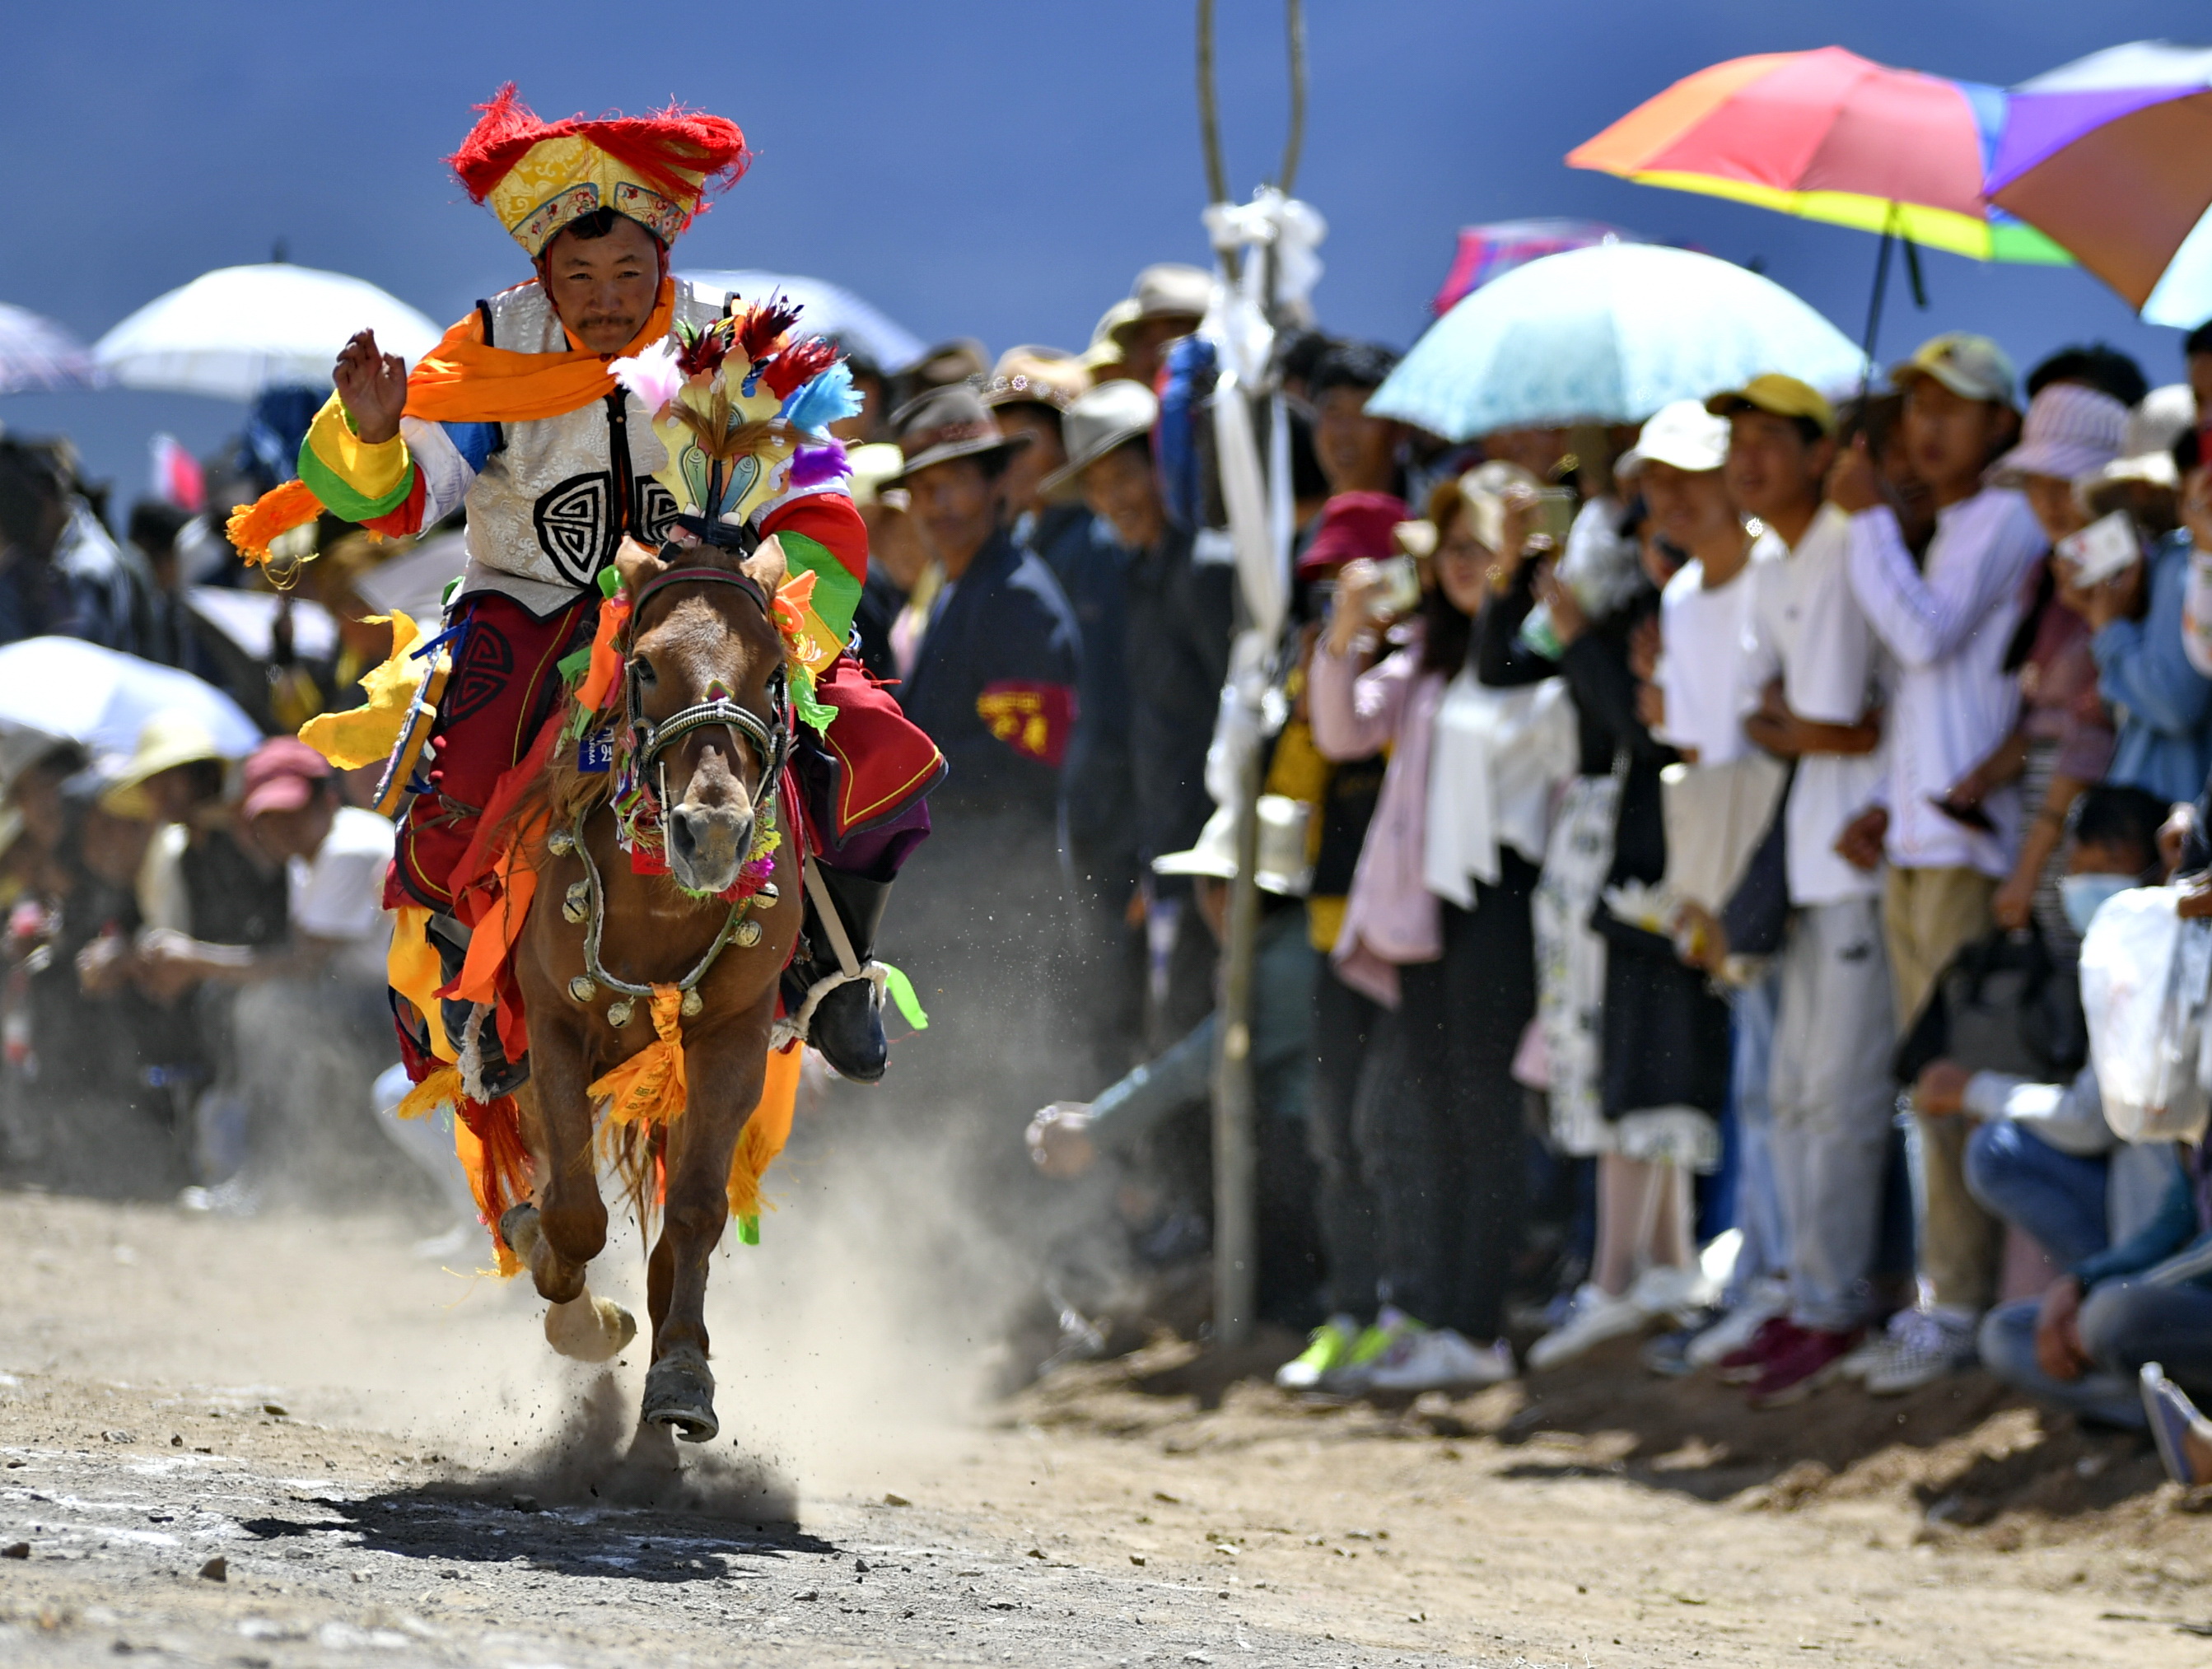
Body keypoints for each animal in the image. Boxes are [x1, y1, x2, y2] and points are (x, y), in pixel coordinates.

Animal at [497, 533, 800, 1432]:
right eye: (642, 665)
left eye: (774, 670)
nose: (716, 833)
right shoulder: (552, 1023)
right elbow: (573, 1214)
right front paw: (583, 1311)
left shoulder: (733, 1037)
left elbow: (695, 1209)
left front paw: (682, 1369)